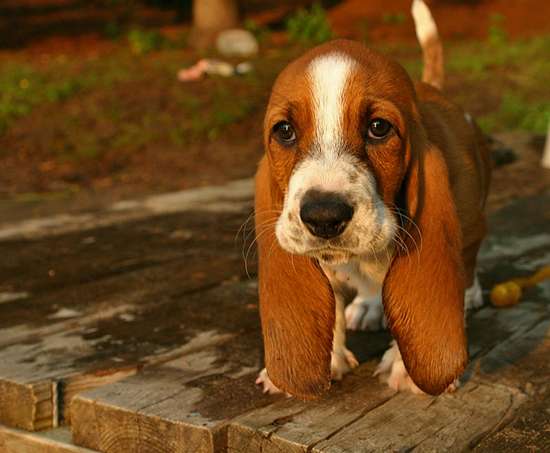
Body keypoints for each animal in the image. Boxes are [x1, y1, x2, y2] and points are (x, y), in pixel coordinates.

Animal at [254, 0, 492, 400]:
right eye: (284, 131)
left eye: (379, 128)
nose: (323, 216)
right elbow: (331, 308)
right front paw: (327, 361)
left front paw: (407, 370)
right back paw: (367, 305)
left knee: (470, 257)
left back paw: (471, 292)